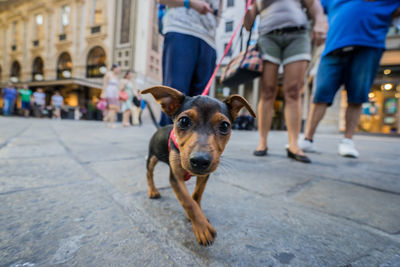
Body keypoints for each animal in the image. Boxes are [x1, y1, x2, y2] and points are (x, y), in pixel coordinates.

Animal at [142, 86, 255, 247]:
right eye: (183, 121)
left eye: (225, 126)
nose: (200, 161)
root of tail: (159, 128)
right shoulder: (175, 178)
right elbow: (188, 202)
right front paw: (202, 228)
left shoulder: (204, 176)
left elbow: (196, 196)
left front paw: (198, 218)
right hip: (152, 157)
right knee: (149, 173)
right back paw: (152, 190)